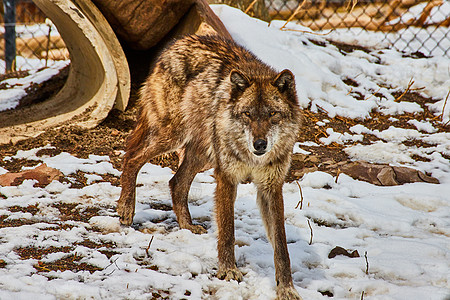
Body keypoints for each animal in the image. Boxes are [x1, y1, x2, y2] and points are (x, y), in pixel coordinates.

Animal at [118, 34, 302, 298]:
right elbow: (227, 231)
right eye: (247, 114)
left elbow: (281, 245)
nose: (259, 144)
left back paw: (187, 225)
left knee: (176, 182)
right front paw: (228, 271)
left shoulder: (271, 187)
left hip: (202, 154)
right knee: (131, 157)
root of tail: (177, 43)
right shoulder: (226, 178)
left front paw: (286, 288)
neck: (252, 159)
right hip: (172, 136)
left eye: (272, 114)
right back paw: (126, 209)